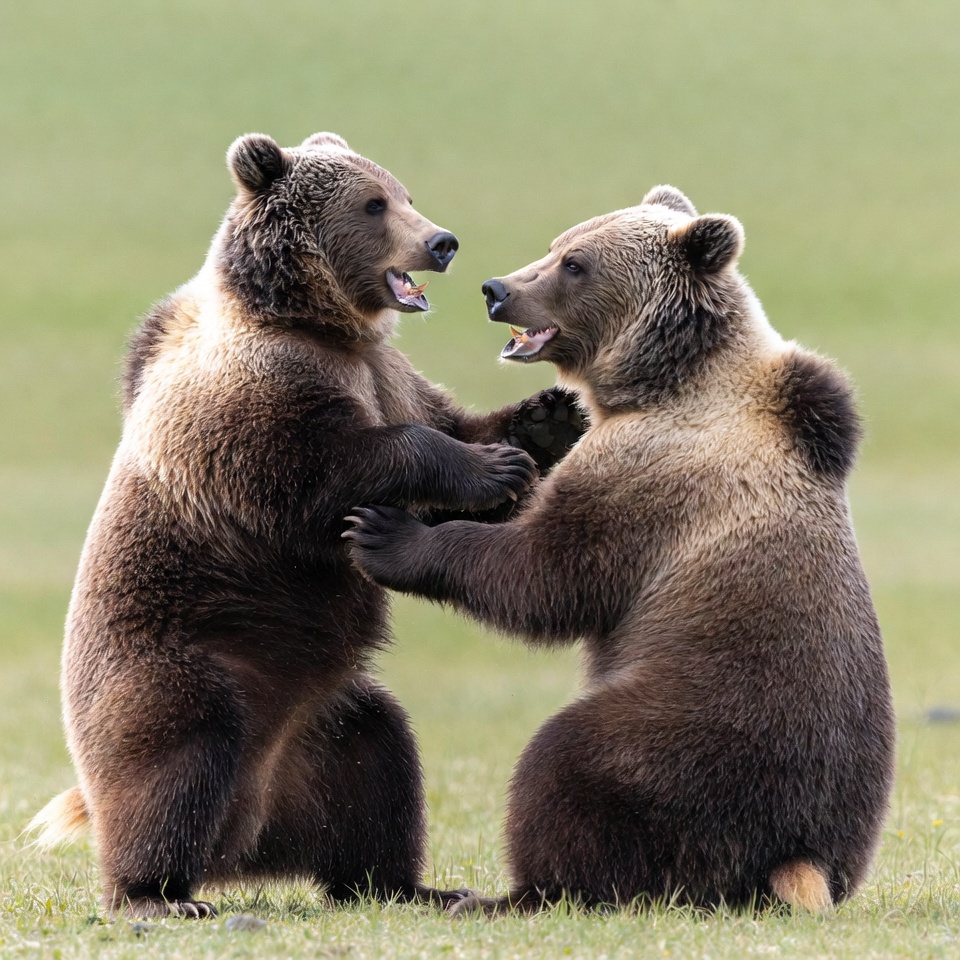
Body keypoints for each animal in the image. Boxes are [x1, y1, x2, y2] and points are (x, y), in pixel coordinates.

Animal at [31, 131, 584, 920]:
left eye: (405, 192)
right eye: (374, 203)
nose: (441, 242)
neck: (318, 325)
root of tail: (247, 843)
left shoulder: (387, 373)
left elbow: (442, 428)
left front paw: (544, 419)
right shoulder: (255, 396)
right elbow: (326, 468)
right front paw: (491, 467)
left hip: (326, 720)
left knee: (379, 768)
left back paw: (413, 884)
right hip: (180, 665)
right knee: (171, 762)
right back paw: (157, 896)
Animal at [343, 185, 896, 914]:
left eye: (575, 263)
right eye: (556, 244)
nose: (497, 289)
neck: (665, 385)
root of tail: (793, 856)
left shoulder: (647, 476)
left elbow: (549, 574)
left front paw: (386, 534)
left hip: (687, 727)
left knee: (568, 766)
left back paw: (511, 892)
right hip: (852, 800)